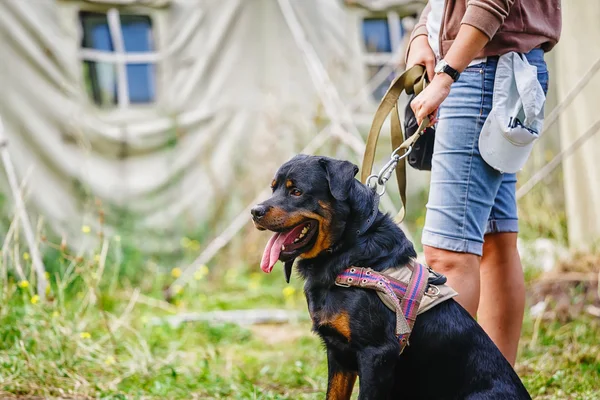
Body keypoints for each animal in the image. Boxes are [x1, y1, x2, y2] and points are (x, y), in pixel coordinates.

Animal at [251, 155, 532, 400]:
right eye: (274, 188)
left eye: (297, 192)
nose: (255, 211)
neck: (349, 254)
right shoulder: (338, 354)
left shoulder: (377, 355)